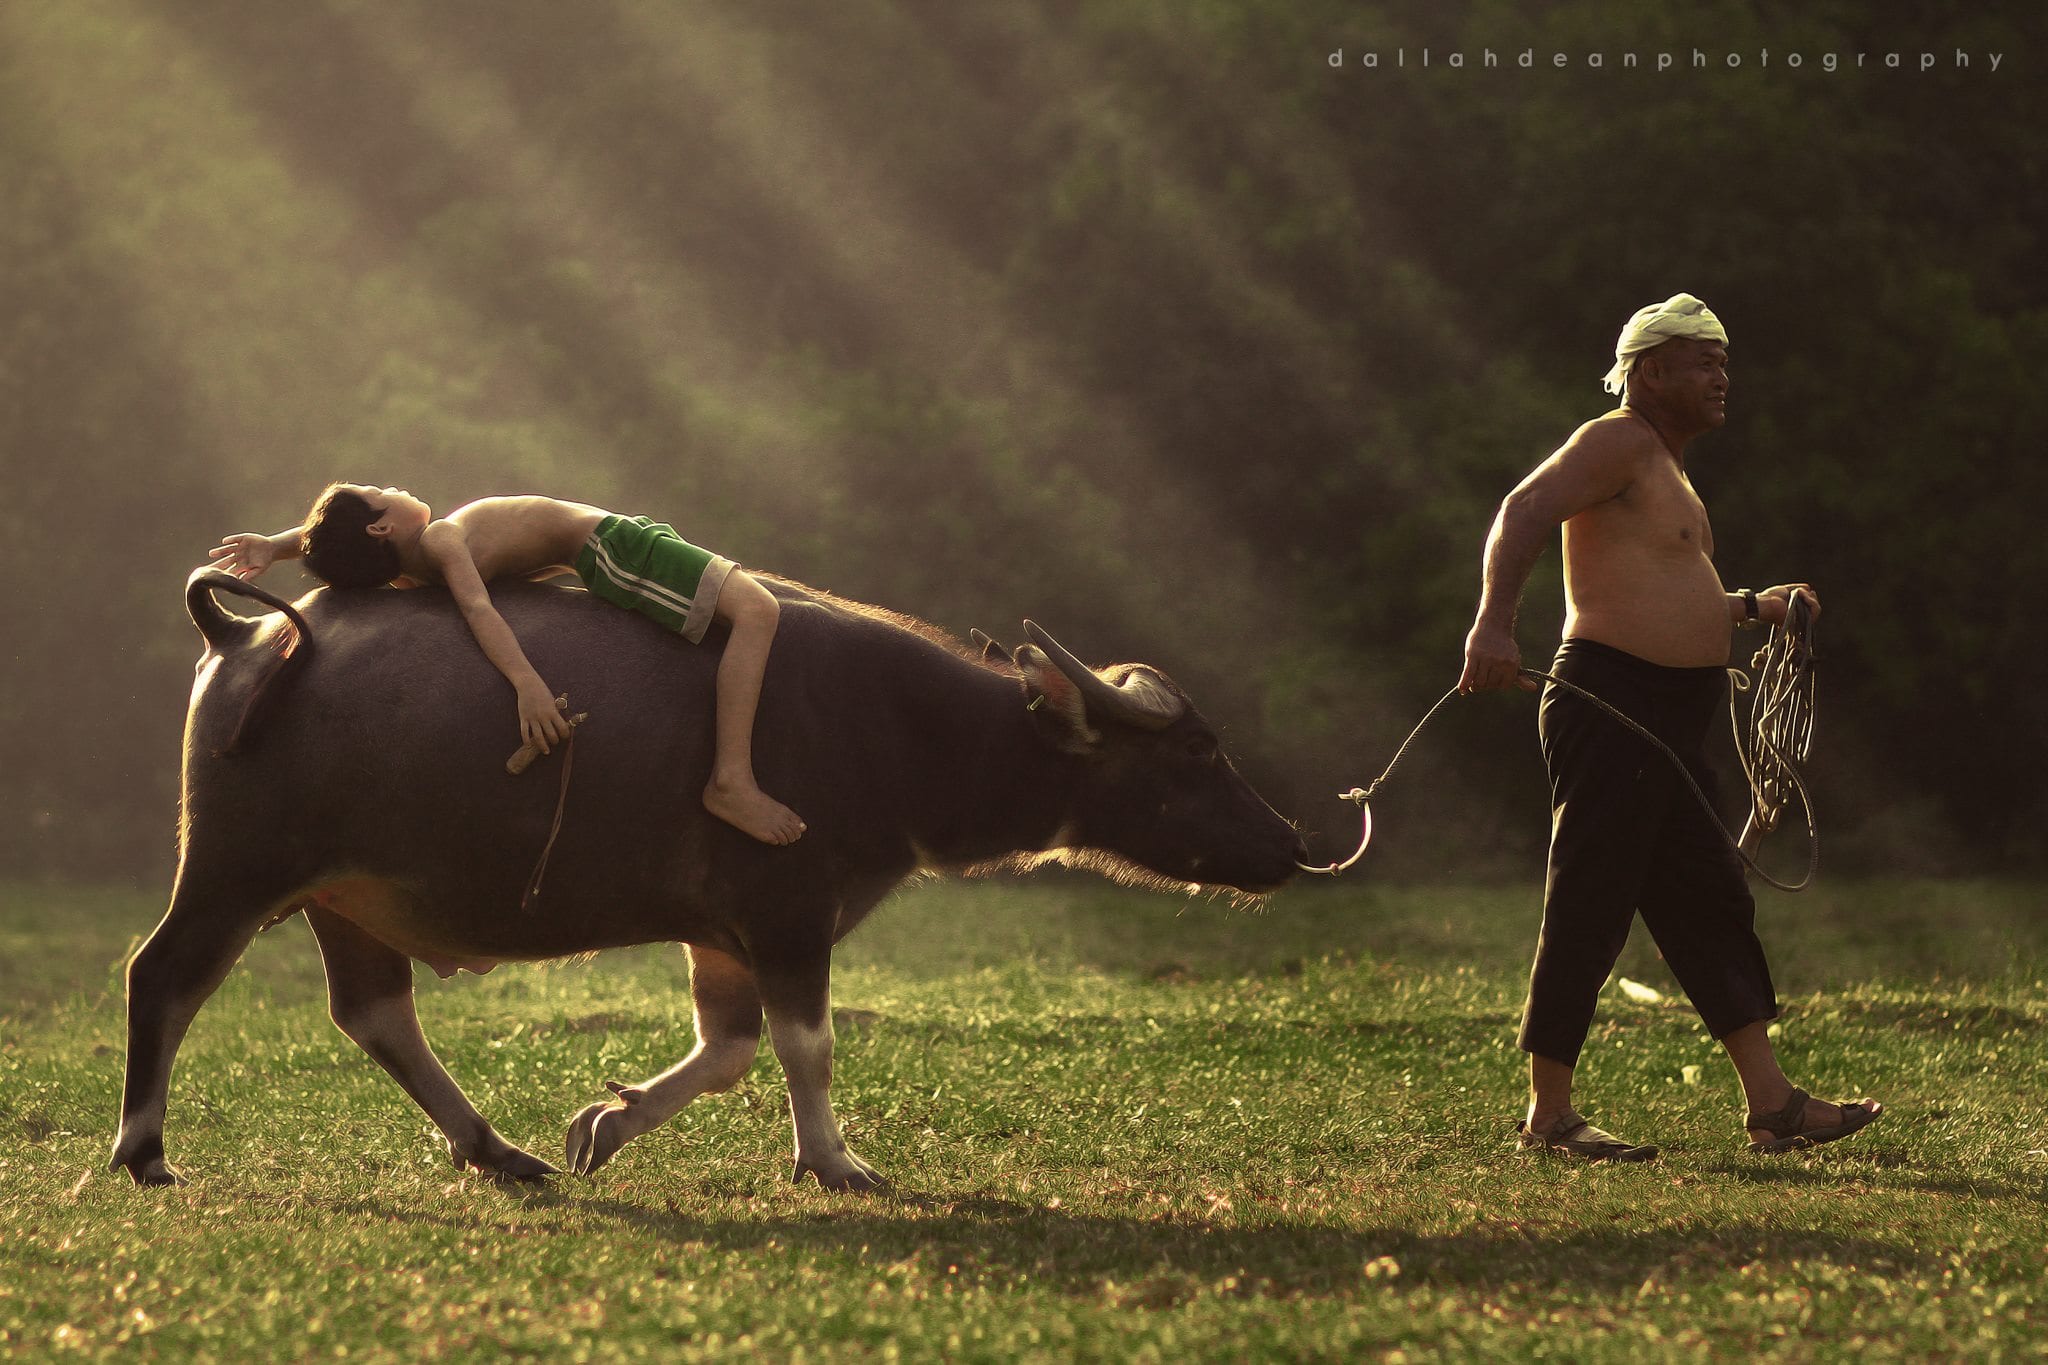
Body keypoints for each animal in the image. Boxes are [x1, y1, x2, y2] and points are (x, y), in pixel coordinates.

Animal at [112, 564, 1302, 1186]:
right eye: (1197, 751)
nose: (1290, 845)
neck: (894, 729)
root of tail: (247, 634)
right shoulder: (787, 912)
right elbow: (805, 1043)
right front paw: (834, 1161)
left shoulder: (721, 931)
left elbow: (728, 1051)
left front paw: (605, 1123)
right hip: (234, 868)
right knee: (162, 977)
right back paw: (142, 1148)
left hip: (342, 899)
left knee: (374, 1014)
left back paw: (497, 1149)